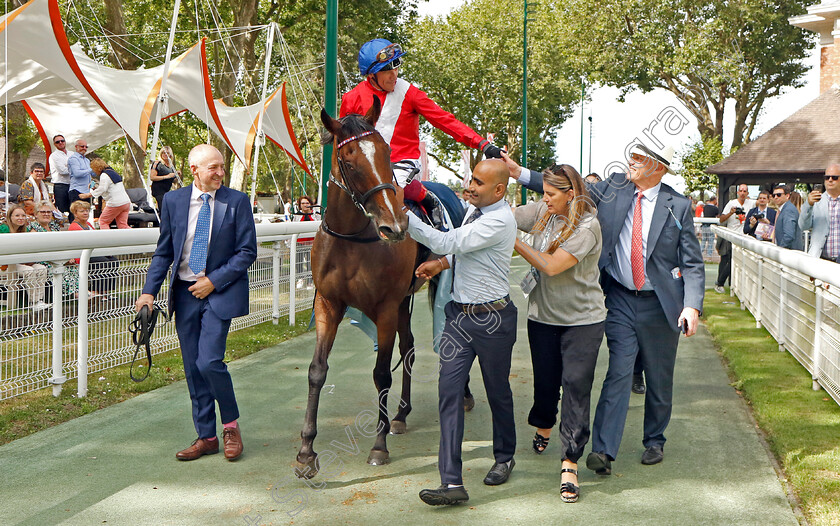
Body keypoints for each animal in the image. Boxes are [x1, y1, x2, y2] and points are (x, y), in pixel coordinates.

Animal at [298, 99, 424, 478]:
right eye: (350, 162)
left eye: (386, 153)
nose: (395, 227)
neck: (352, 238)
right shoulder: (328, 304)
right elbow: (317, 372)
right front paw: (306, 452)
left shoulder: (384, 308)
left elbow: (381, 374)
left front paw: (378, 446)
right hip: (403, 303)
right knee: (409, 348)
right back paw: (401, 414)